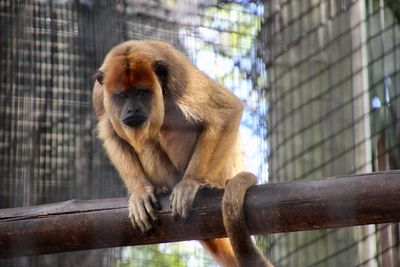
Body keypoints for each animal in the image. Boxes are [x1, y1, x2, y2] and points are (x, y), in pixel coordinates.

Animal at [92, 40, 272, 267]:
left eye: (141, 92)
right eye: (122, 95)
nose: (132, 110)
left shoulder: (180, 77)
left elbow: (227, 110)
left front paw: (190, 182)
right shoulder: (100, 96)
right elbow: (111, 134)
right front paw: (140, 192)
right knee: (147, 139)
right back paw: (160, 188)